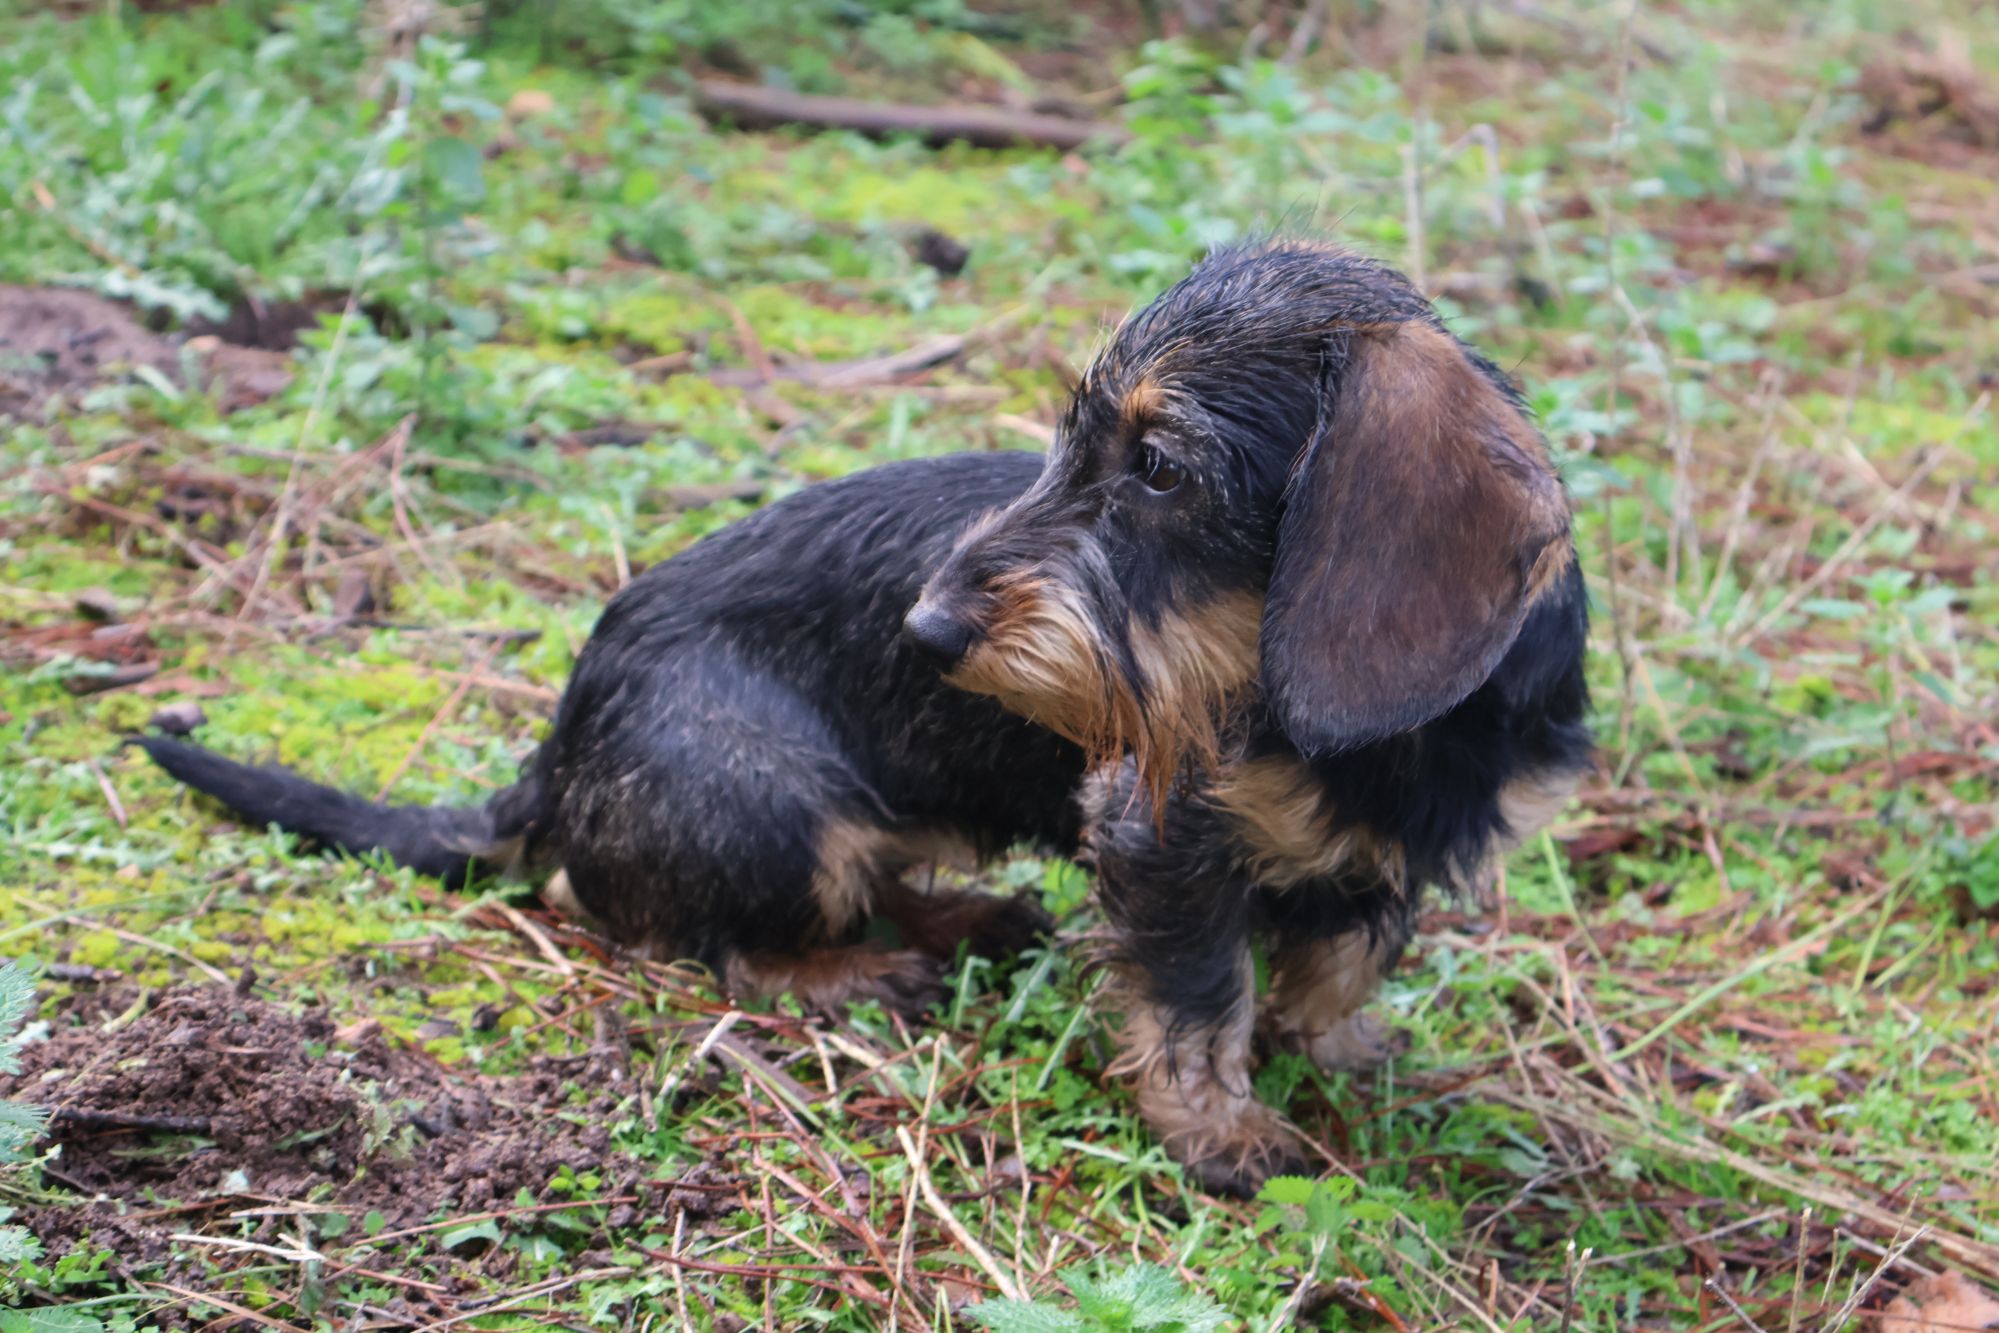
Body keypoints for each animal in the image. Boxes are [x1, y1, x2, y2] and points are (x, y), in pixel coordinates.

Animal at [911, 236, 1591, 1191]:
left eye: (1158, 467)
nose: (926, 627)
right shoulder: (1164, 835)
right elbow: (1202, 990)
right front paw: (1218, 1126)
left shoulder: (1398, 858)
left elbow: (1351, 958)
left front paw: (1333, 1045)